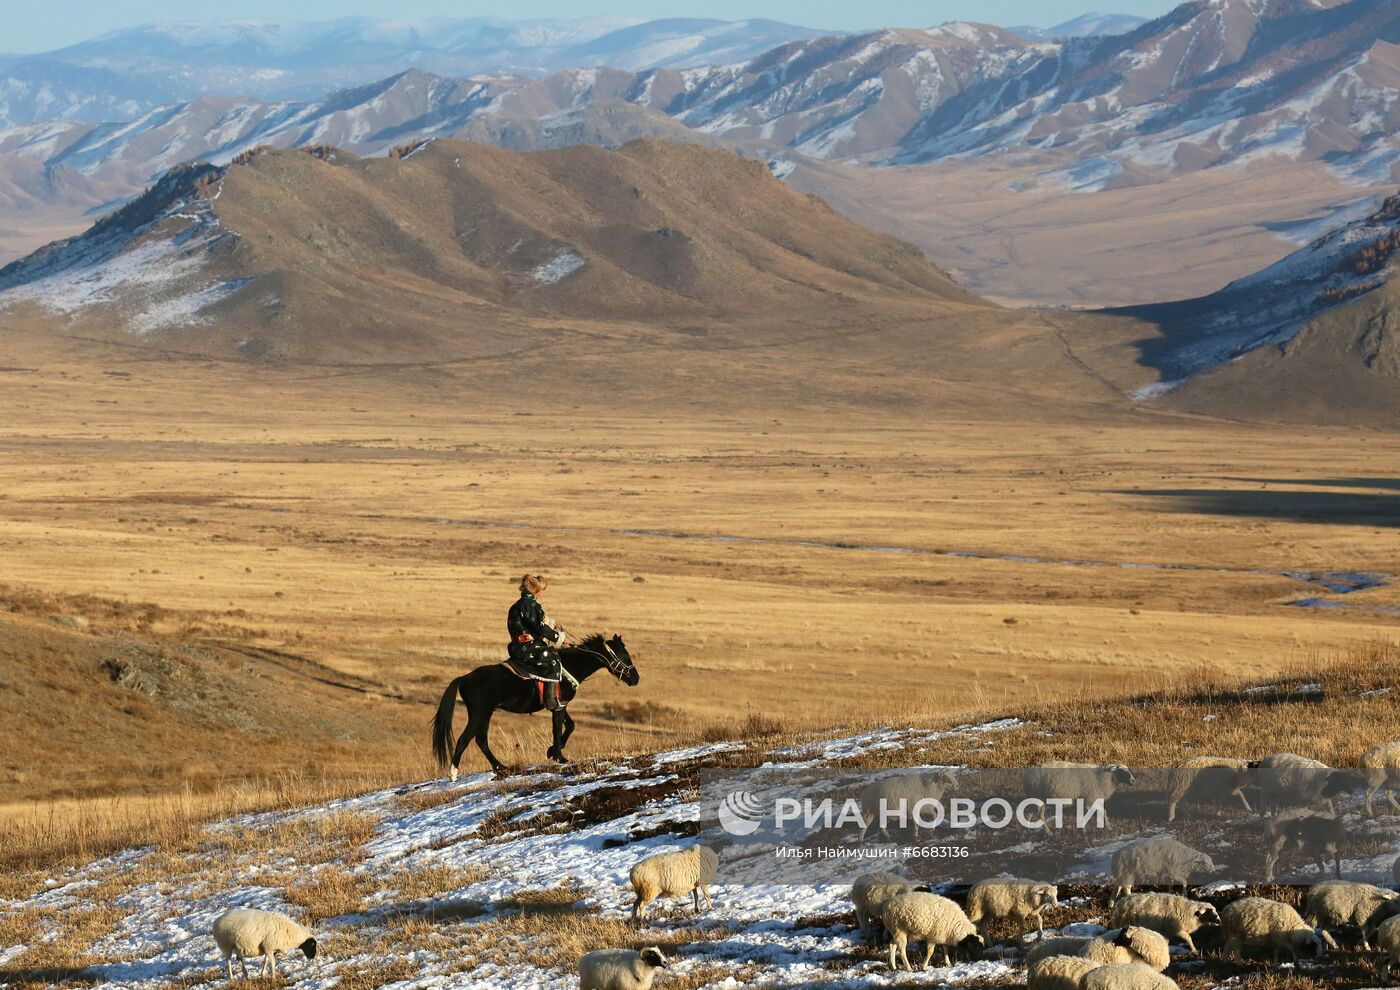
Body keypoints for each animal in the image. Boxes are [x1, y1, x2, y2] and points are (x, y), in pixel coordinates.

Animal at [431, 635, 641, 784]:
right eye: (624, 655)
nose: (635, 678)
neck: (570, 666)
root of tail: (465, 678)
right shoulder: (559, 705)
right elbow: (557, 728)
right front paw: (559, 757)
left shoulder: (560, 703)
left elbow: (570, 726)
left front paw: (552, 751)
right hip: (479, 713)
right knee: (465, 739)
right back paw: (453, 773)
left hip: (486, 713)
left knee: (481, 740)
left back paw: (501, 766)